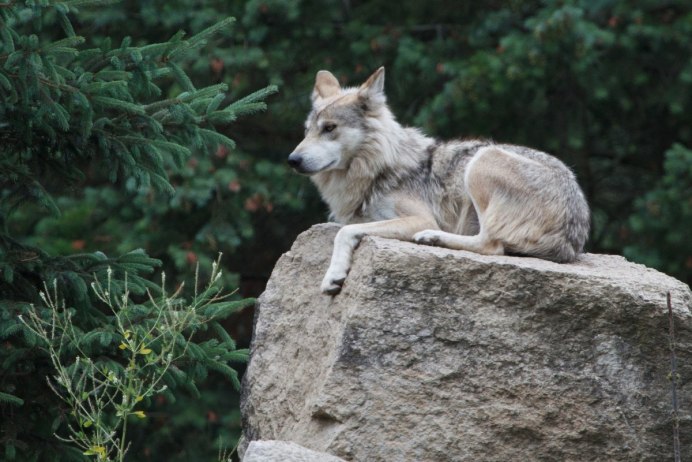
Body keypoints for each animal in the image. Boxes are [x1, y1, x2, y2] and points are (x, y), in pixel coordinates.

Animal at [286, 67, 588, 294]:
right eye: (307, 131)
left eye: (330, 128)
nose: (292, 159)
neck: (378, 168)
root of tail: (573, 240)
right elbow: (345, 227)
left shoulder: (418, 218)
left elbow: (344, 232)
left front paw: (333, 275)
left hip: (482, 161)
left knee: (491, 245)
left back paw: (433, 238)